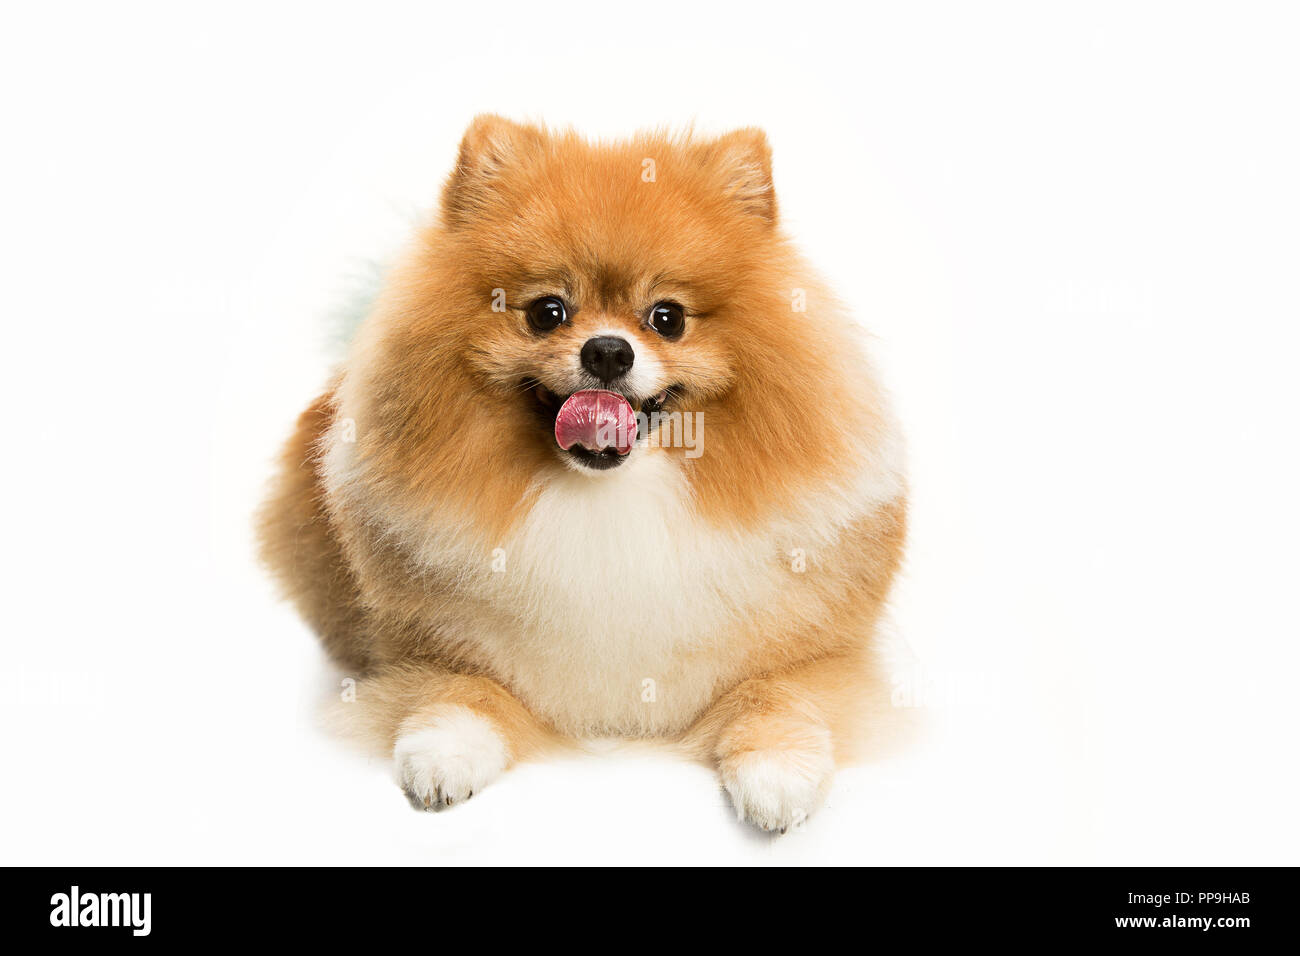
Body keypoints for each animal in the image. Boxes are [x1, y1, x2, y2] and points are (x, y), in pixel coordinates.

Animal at [258, 113, 909, 832]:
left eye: (667, 317)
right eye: (547, 311)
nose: (606, 351)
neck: (608, 498)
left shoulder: (820, 653)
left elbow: (778, 692)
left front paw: (777, 773)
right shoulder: (419, 642)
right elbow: (461, 684)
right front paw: (446, 753)